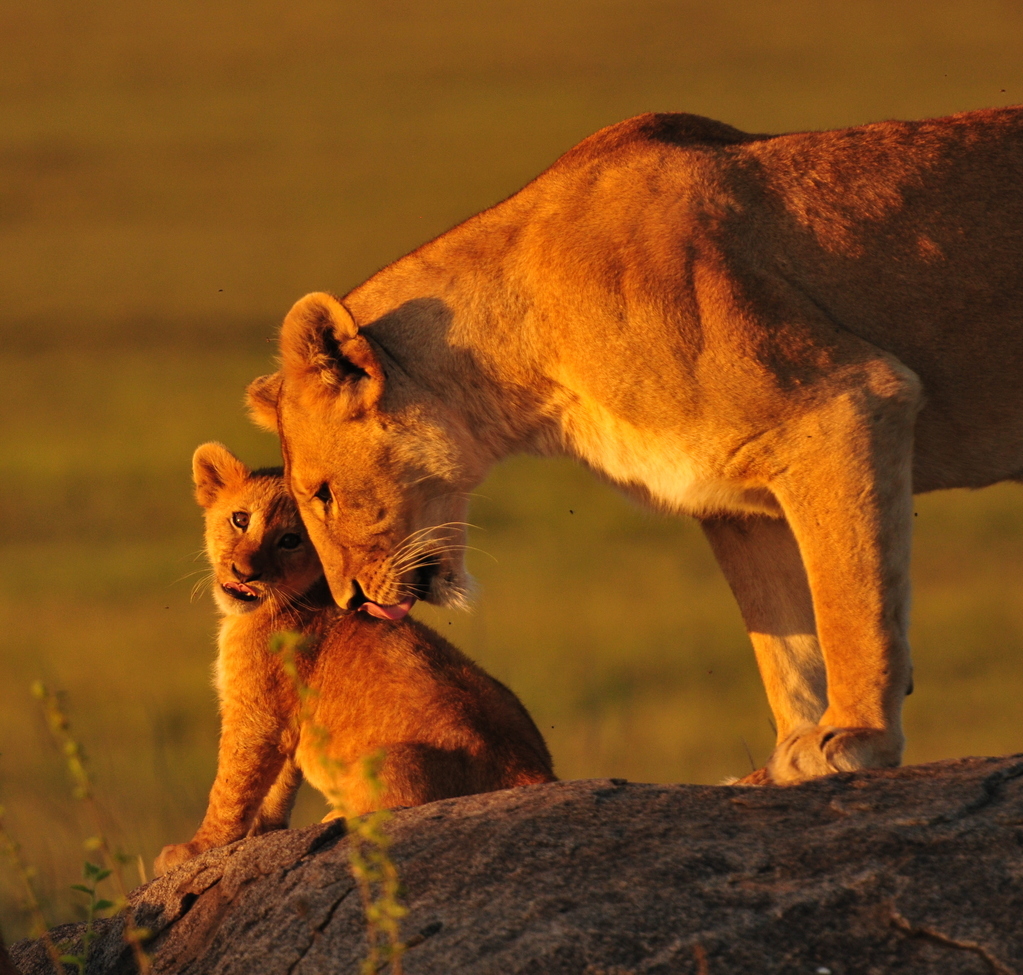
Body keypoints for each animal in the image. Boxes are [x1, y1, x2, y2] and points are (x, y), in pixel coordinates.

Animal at [154, 442, 554, 876]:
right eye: (240, 519)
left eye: (290, 540)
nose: (244, 573)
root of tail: (537, 771)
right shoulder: (286, 721)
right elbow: (278, 787)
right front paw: (264, 831)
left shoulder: (256, 715)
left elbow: (232, 787)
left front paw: (197, 848)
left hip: (390, 759)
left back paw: (337, 816)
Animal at [245, 106, 1023, 785]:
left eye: (322, 493)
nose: (350, 603)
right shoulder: (735, 499)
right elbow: (783, 640)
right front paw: (785, 757)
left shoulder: (841, 401)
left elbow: (848, 599)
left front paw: (855, 737)